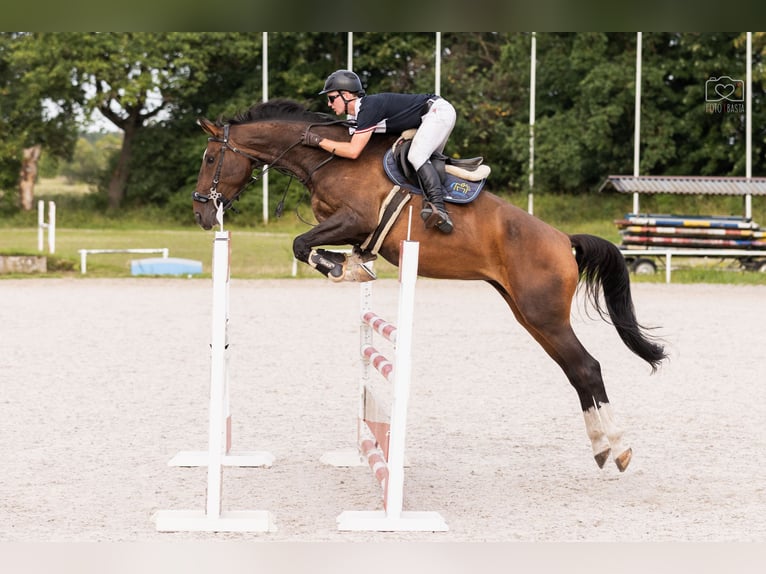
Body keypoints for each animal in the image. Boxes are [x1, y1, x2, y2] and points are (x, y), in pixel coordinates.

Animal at [192, 99, 664, 474]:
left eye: (211, 158)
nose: (201, 214)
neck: (333, 160)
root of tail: (564, 241)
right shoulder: (351, 227)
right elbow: (316, 246)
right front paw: (352, 265)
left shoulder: (354, 218)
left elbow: (301, 244)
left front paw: (343, 268)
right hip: (530, 317)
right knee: (576, 372)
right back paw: (603, 448)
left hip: (545, 316)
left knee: (587, 368)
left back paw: (618, 448)